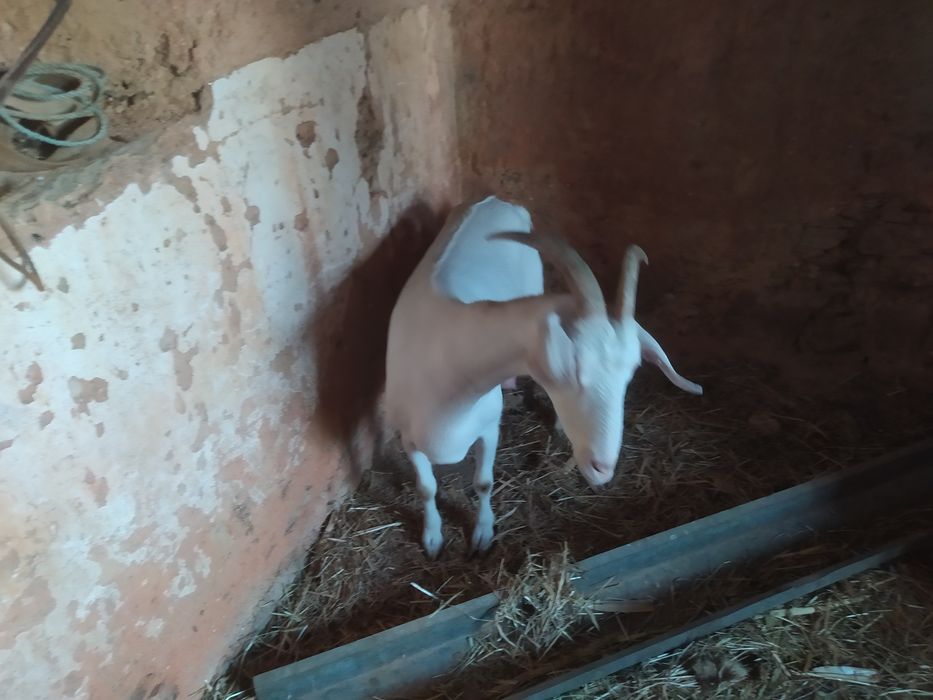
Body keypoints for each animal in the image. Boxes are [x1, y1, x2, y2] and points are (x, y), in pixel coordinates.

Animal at [384, 196, 702, 558]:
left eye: (631, 372)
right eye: (572, 367)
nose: (602, 469)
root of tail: (495, 199)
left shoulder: (489, 427)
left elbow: (484, 482)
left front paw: (482, 534)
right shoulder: (407, 438)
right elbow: (426, 487)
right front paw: (433, 539)